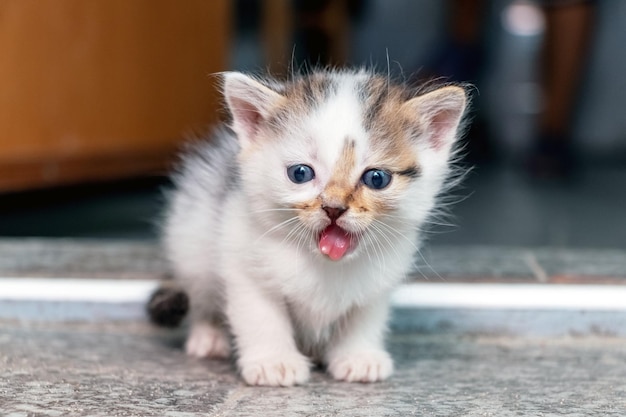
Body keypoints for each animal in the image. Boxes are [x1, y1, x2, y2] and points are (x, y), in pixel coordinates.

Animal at [149, 66, 466, 386]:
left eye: (377, 178)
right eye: (300, 173)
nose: (333, 208)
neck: (324, 265)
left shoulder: (380, 278)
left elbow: (364, 315)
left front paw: (357, 356)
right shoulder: (242, 258)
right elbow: (260, 315)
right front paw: (274, 363)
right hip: (191, 239)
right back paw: (209, 335)